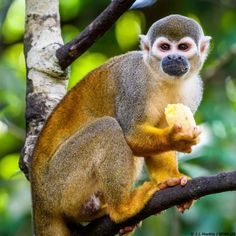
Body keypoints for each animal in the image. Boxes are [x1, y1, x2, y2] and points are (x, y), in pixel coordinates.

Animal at [29, 15, 210, 236]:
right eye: (165, 47)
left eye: (183, 47)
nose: (173, 58)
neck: (162, 78)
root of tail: (38, 197)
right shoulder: (133, 83)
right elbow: (132, 135)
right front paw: (175, 139)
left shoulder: (194, 91)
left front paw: (172, 180)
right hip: (58, 182)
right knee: (108, 128)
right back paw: (122, 209)